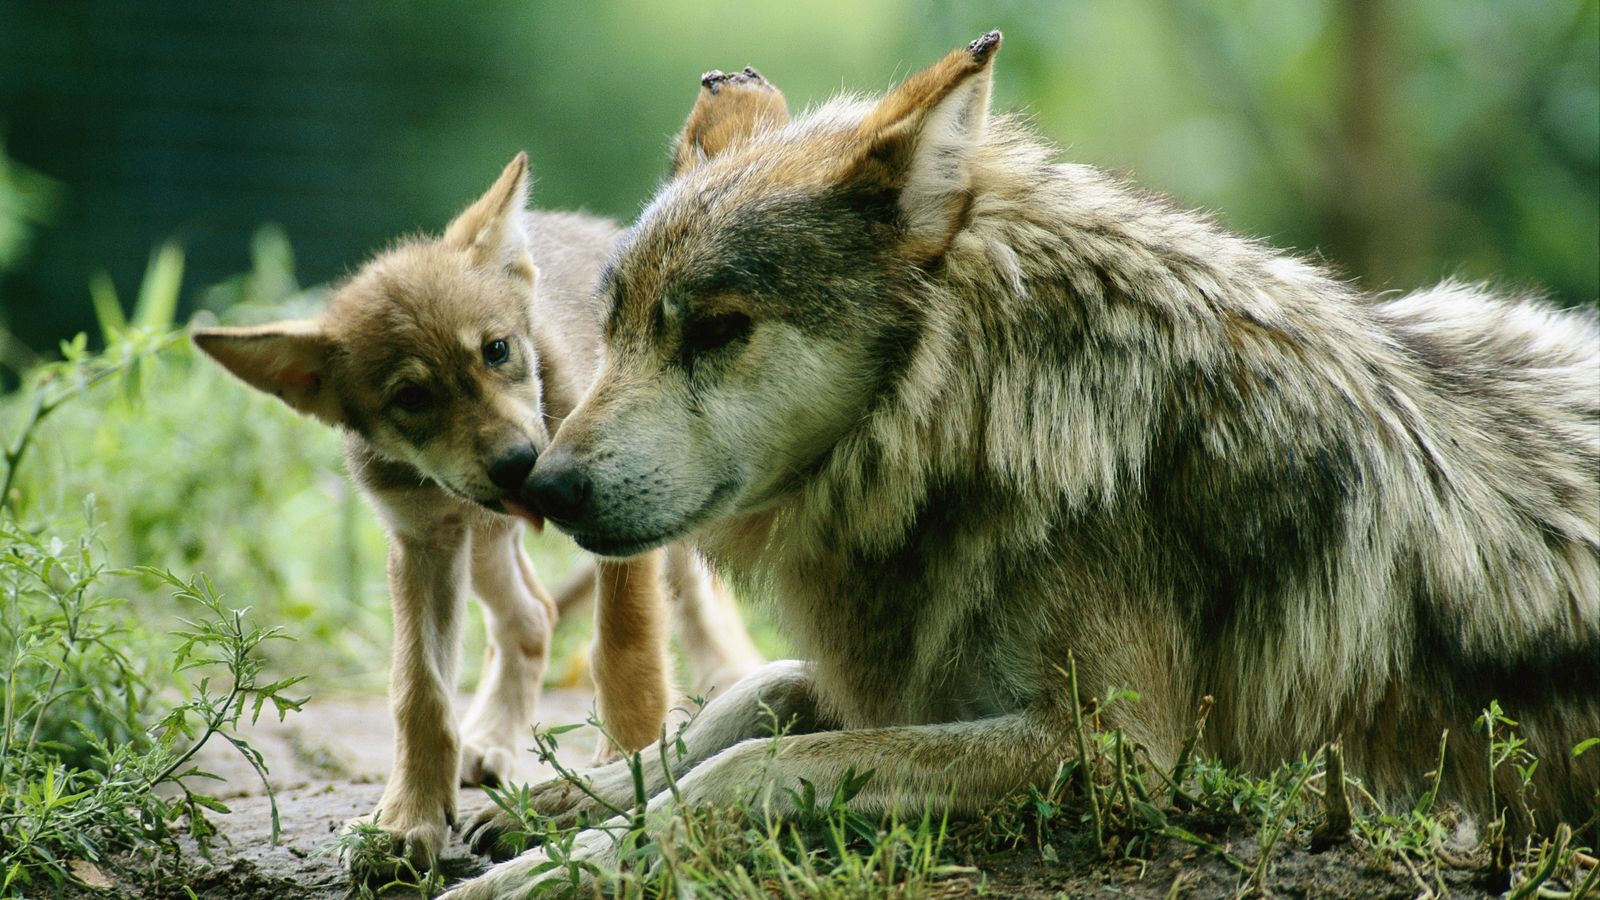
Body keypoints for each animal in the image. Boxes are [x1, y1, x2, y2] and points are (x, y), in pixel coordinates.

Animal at [451, 31, 1600, 890]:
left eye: (720, 330)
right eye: (618, 326)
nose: (542, 486)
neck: (996, 414)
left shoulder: (1109, 753)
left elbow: (757, 765)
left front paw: (551, 868)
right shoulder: (916, 671)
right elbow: (752, 701)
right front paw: (549, 808)